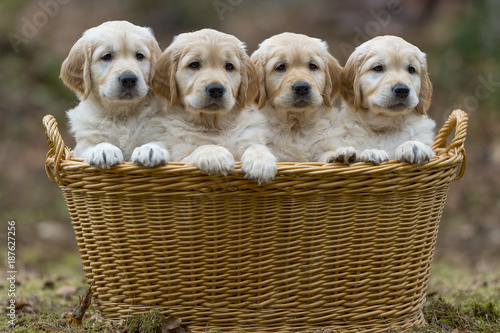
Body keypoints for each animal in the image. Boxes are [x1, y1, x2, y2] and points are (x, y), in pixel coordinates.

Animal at [60, 19, 170, 167]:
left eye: (139, 56)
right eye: (107, 56)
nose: (129, 79)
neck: (122, 115)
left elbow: (160, 142)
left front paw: (150, 149)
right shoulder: (83, 145)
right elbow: (95, 144)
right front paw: (103, 150)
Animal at [152, 27, 278, 184]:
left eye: (229, 66)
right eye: (194, 64)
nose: (216, 89)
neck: (215, 125)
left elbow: (255, 145)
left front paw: (261, 161)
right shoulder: (180, 156)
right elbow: (201, 148)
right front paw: (215, 154)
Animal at [250, 32, 344, 162]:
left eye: (313, 66)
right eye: (280, 67)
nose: (302, 87)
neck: (295, 126)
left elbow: (326, 153)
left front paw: (338, 155)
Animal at [332, 35, 438, 164]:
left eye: (411, 69)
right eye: (378, 68)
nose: (402, 90)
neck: (385, 127)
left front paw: (413, 146)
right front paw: (371, 152)